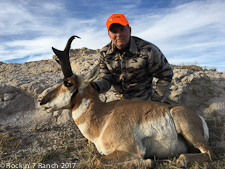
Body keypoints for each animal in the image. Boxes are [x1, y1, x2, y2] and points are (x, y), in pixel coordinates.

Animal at [40, 35, 216, 168]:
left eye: (68, 83)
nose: (42, 102)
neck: (103, 117)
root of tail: (199, 118)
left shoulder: (130, 150)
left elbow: (98, 161)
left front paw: (149, 162)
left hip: (188, 130)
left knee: (209, 153)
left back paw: (181, 161)